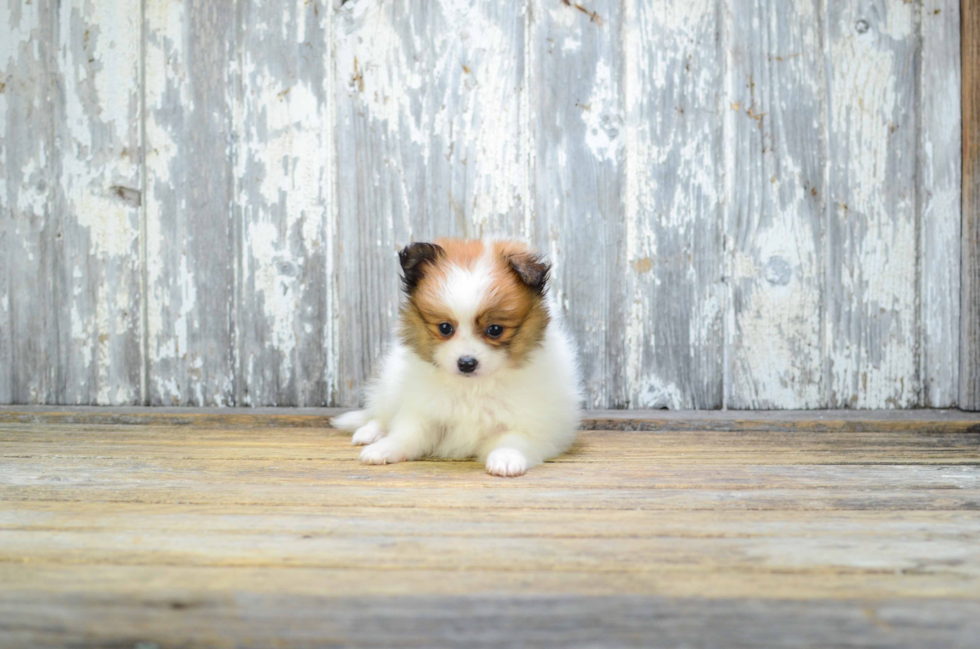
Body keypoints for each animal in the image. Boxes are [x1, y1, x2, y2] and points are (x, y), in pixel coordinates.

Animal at [334, 238, 584, 476]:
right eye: (445, 328)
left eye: (495, 330)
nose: (466, 363)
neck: (473, 388)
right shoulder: (424, 410)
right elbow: (407, 434)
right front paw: (385, 448)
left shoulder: (532, 424)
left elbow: (513, 440)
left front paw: (505, 458)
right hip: (391, 384)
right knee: (381, 414)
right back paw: (369, 433)